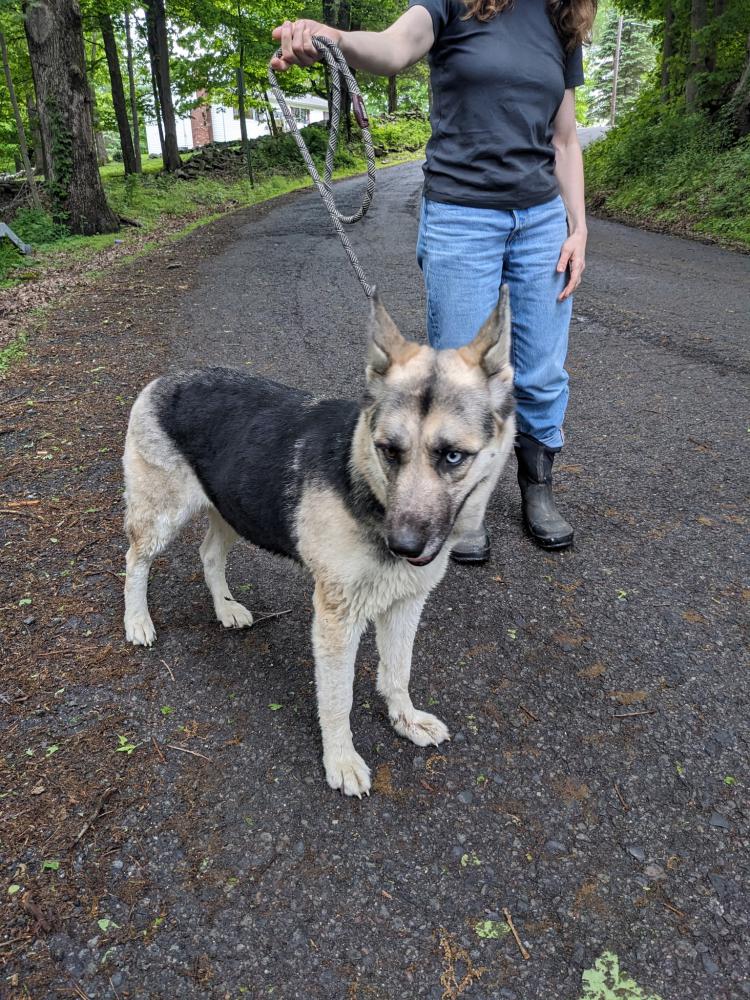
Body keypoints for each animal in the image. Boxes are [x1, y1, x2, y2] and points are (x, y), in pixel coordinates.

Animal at [122, 287, 515, 796]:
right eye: (389, 451)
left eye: (452, 457)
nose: (403, 547)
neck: (366, 483)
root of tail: (164, 380)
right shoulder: (336, 620)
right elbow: (337, 698)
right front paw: (341, 760)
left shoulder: (405, 604)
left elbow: (398, 672)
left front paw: (405, 720)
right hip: (162, 518)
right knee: (134, 560)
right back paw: (137, 621)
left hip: (234, 508)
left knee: (208, 554)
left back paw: (225, 608)